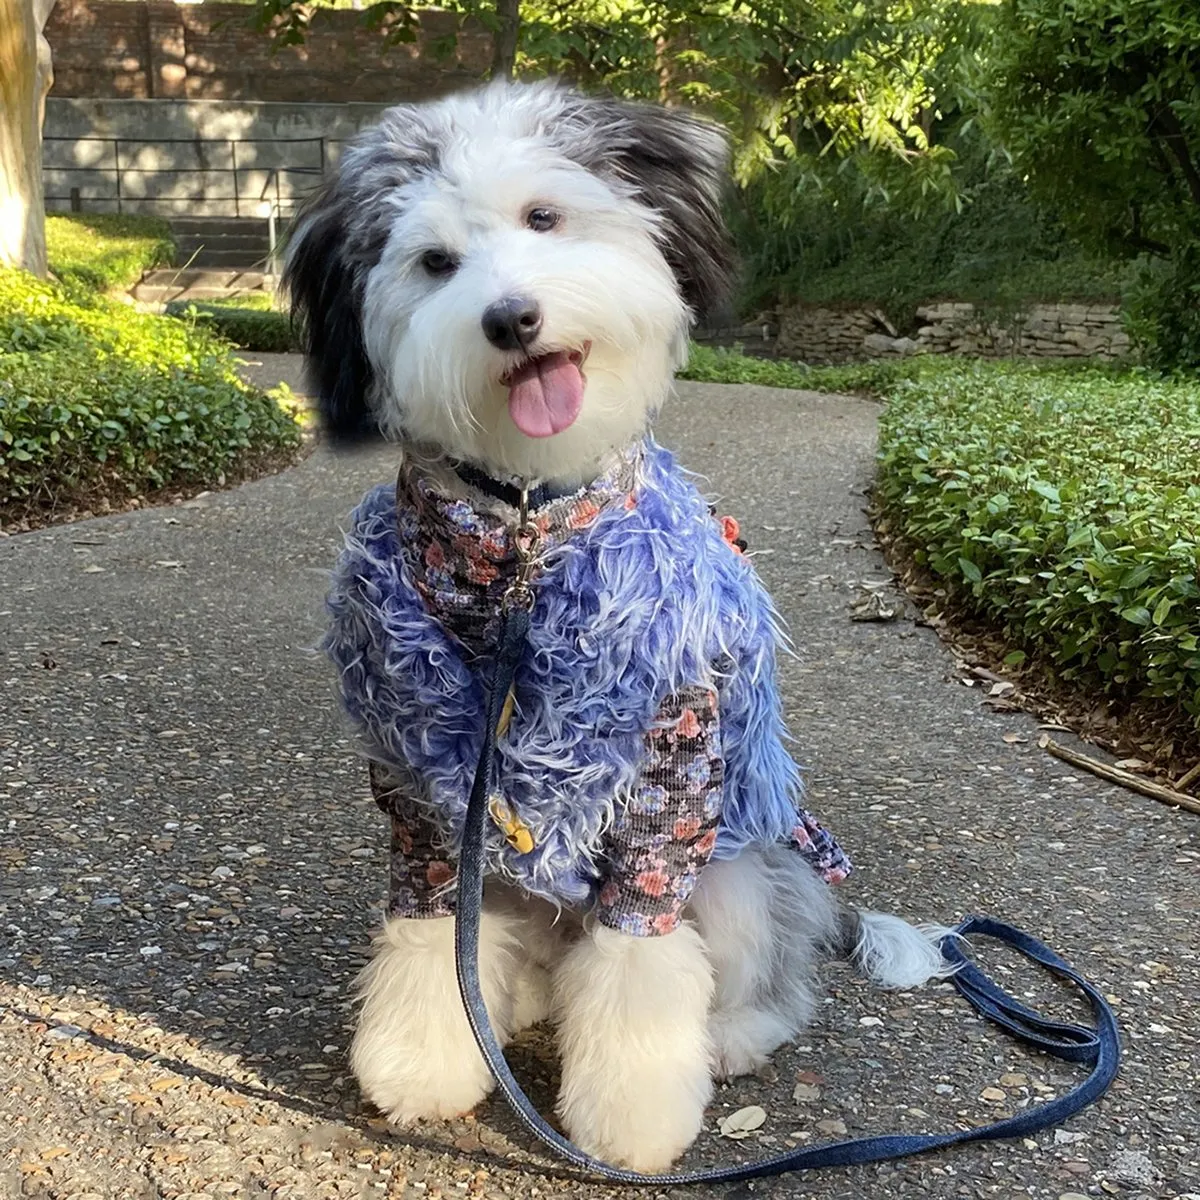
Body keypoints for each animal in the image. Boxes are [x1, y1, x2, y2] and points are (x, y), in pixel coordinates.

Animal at [283, 82, 955, 1171]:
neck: (524, 535)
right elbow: (431, 934)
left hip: (739, 868)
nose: (512, 318)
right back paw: (513, 1010)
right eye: (434, 263)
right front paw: (422, 1062)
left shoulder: (667, 764)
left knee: (762, 973)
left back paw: (730, 1036)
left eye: (544, 217)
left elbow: (641, 965)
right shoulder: (422, 766)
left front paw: (631, 1115)